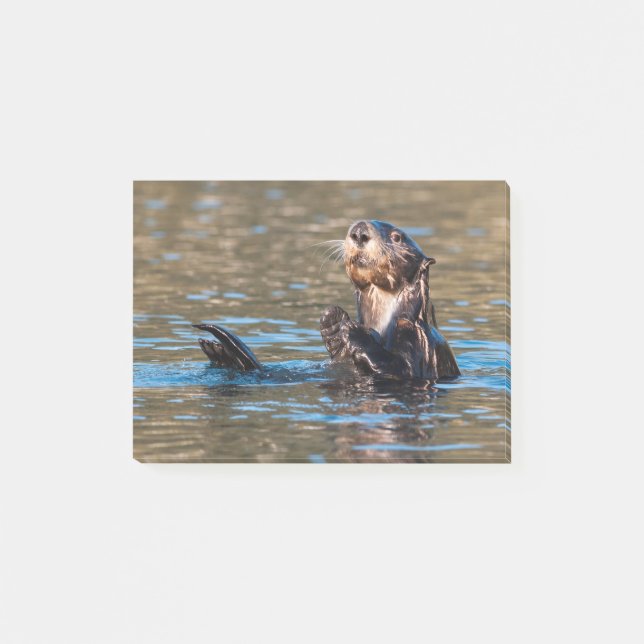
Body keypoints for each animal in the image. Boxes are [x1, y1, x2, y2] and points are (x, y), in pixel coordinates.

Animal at [194, 220, 460, 381]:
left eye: (397, 237)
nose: (359, 231)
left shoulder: (417, 338)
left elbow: (398, 369)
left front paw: (353, 331)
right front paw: (332, 322)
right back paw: (219, 353)